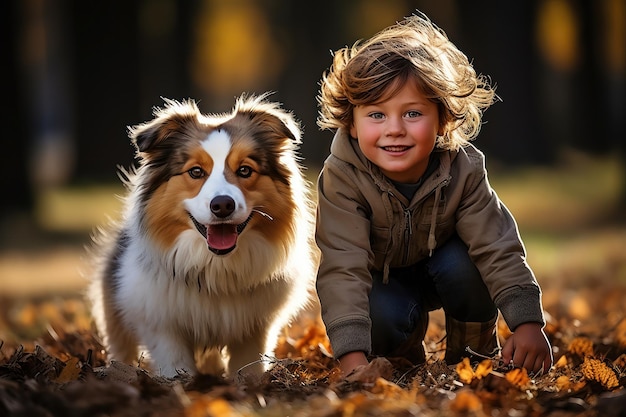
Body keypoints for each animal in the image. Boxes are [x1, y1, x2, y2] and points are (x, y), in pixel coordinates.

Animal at [88, 93, 316, 376]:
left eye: (245, 170)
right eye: (196, 171)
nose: (223, 205)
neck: (215, 267)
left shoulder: (255, 329)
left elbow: (247, 366)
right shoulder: (162, 326)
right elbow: (175, 365)